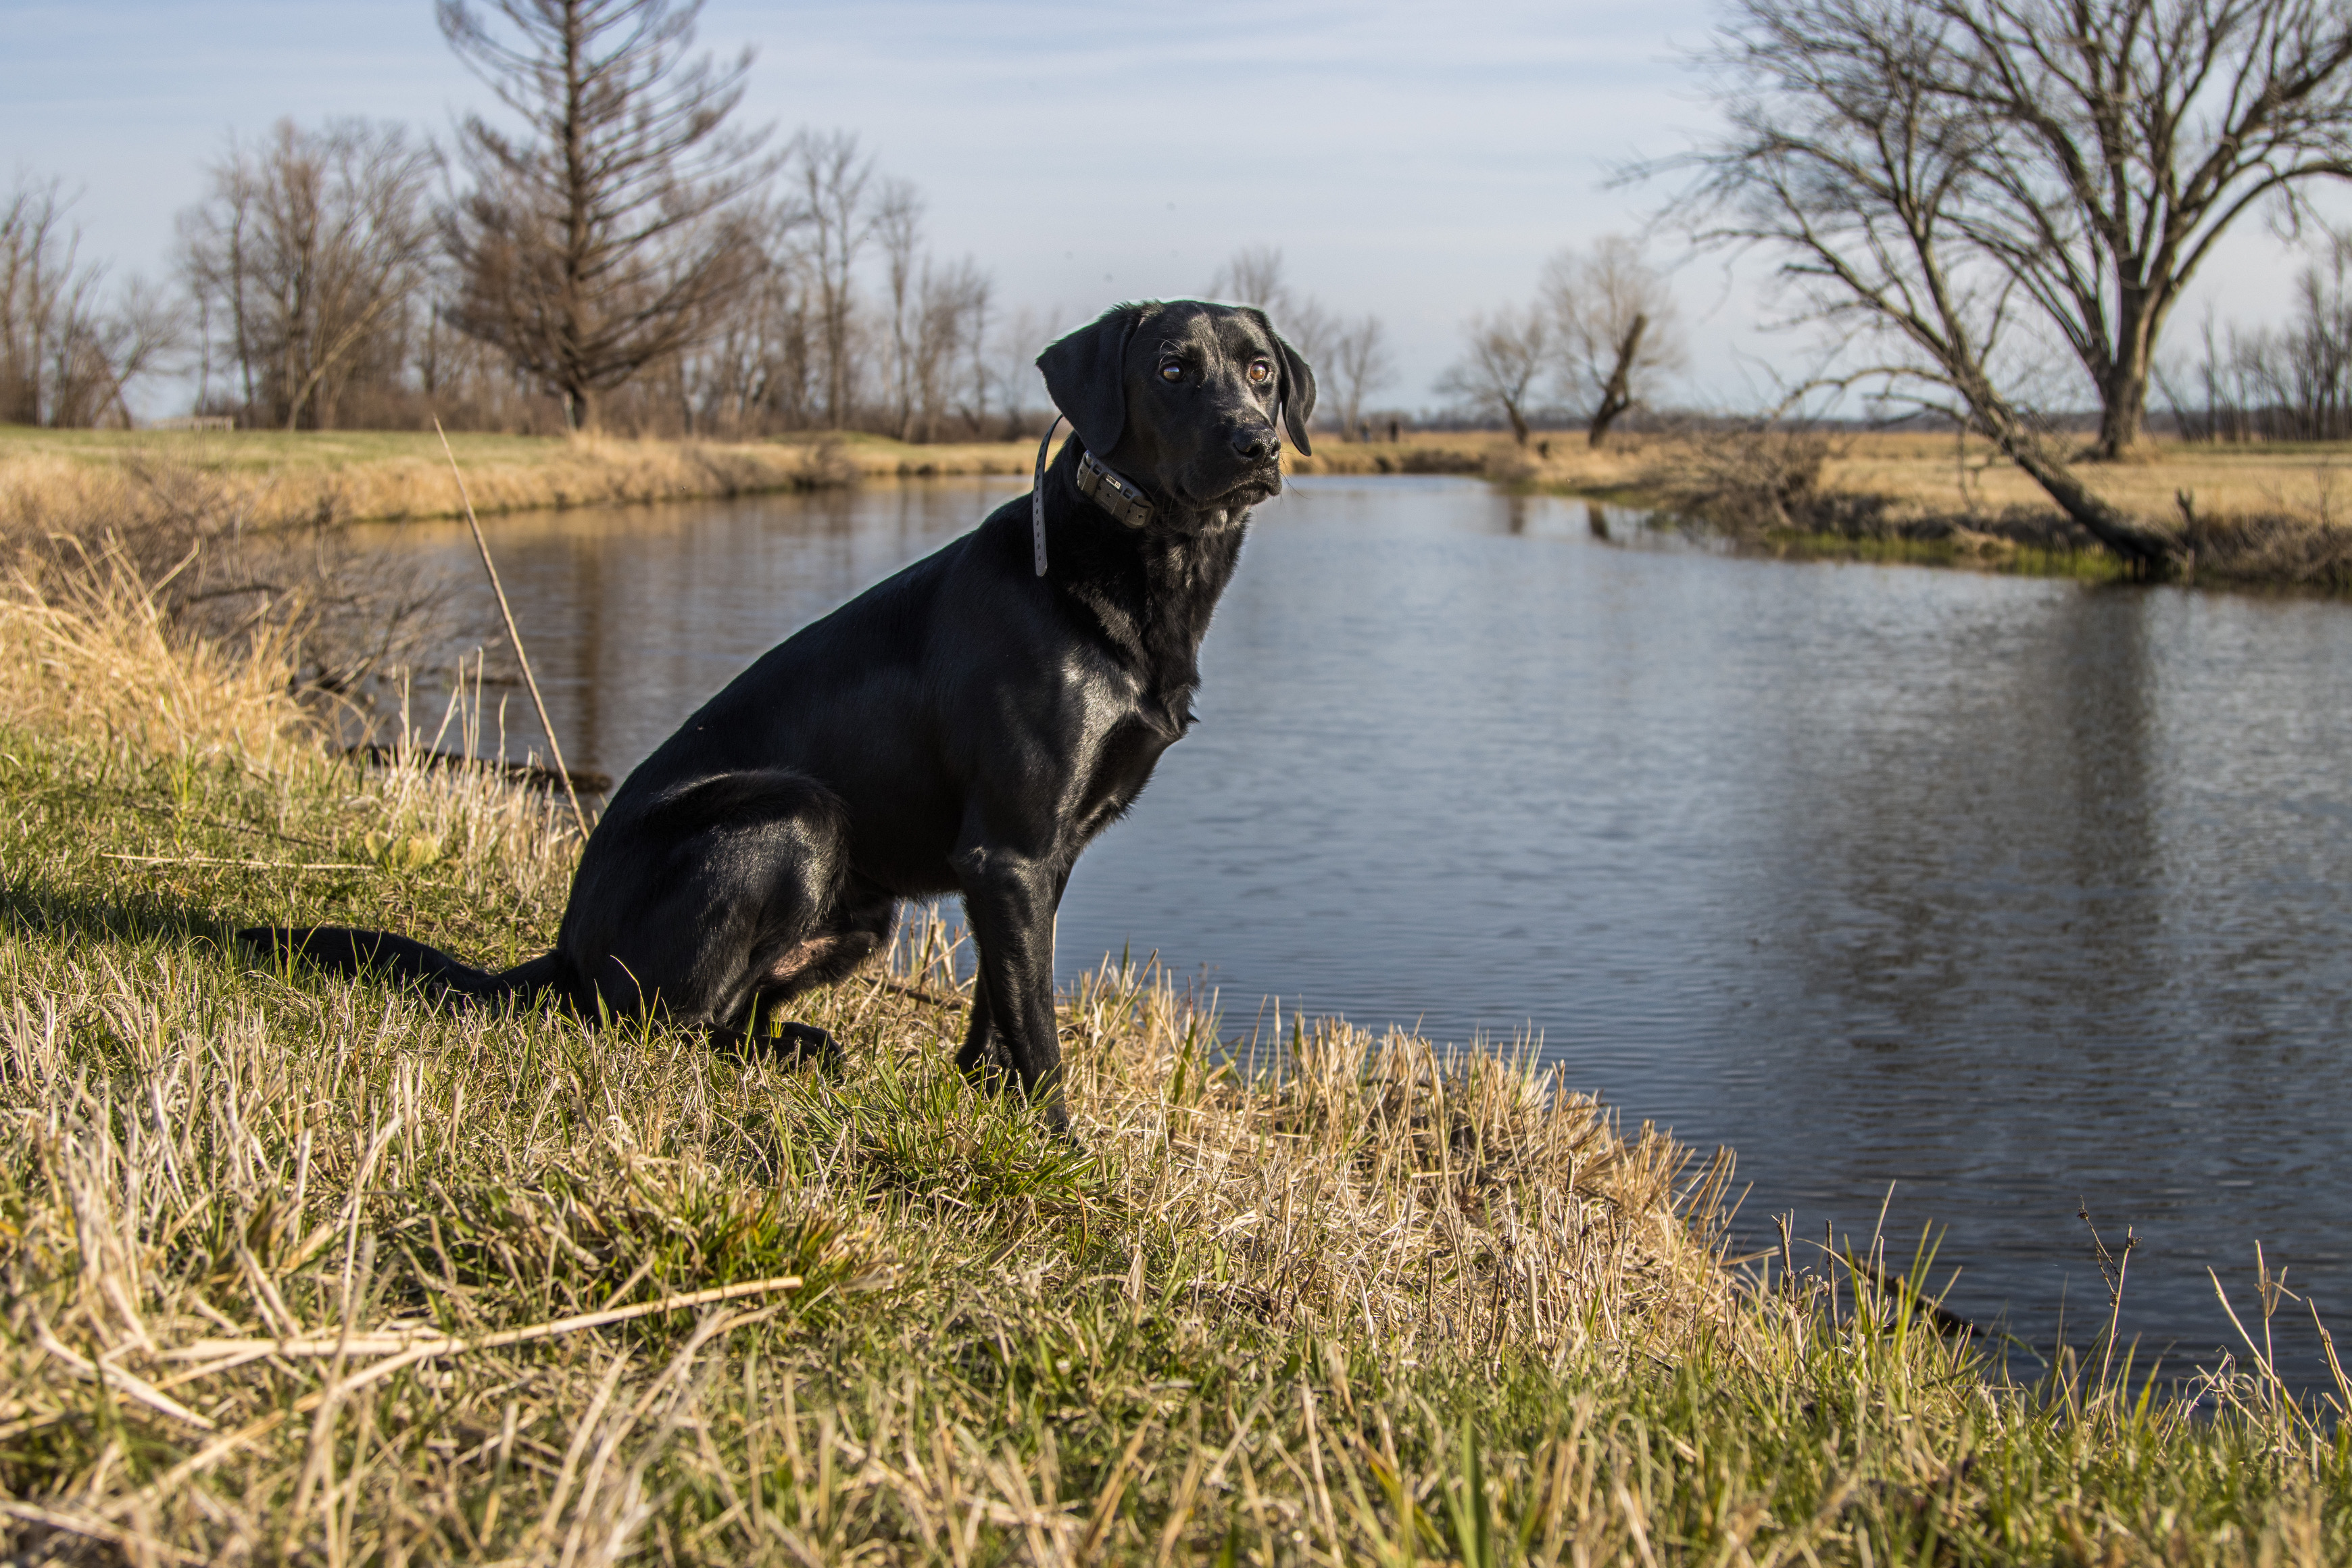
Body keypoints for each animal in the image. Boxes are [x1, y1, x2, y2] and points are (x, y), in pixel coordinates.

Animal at [248, 303, 1317, 1142]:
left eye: (1261, 371)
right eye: (1173, 368)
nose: (1256, 443)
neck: (1144, 566)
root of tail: (564, 946)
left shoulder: (1025, 865)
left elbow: (1000, 1003)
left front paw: (983, 1104)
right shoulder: (1009, 850)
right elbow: (1039, 1024)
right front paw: (1060, 1149)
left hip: (867, 905)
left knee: (728, 1012)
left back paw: (799, 1047)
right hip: (798, 818)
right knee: (660, 1023)